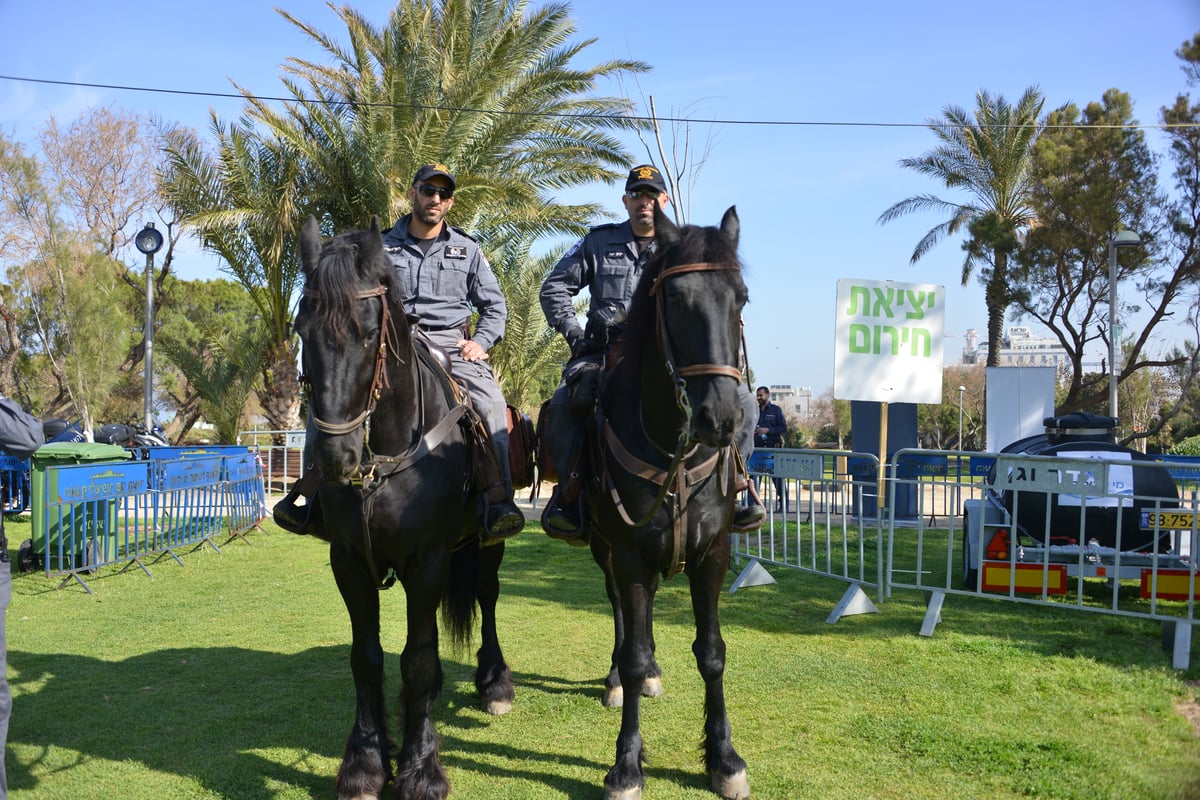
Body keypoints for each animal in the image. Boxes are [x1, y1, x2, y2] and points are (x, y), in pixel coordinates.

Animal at [296, 214, 516, 800]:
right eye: (302, 331)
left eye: (370, 332)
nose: (336, 456)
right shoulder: (348, 560)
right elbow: (367, 658)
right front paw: (366, 763)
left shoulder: (429, 560)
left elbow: (416, 659)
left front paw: (419, 769)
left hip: (489, 544)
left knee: (486, 598)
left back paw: (495, 681)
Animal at [583, 208, 748, 800]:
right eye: (676, 301)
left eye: (740, 298)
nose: (720, 419)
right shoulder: (629, 552)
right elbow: (631, 652)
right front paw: (627, 764)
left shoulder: (713, 554)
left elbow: (713, 653)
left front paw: (724, 757)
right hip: (604, 548)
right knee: (619, 611)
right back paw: (617, 678)